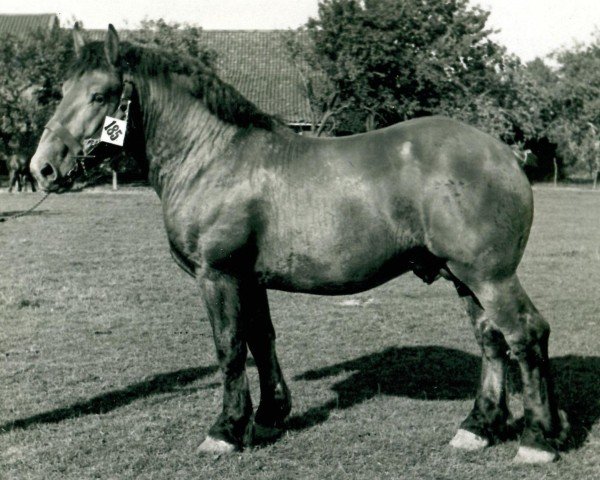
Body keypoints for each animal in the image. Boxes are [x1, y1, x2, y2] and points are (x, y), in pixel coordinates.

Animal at [30, 25, 568, 462]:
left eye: (100, 94)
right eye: (63, 91)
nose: (43, 168)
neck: (212, 155)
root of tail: (504, 153)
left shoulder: (218, 275)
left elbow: (229, 347)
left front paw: (225, 431)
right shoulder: (250, 279)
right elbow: (260, 339)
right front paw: (268, 417)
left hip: (489, 276)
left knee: (526, 334)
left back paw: (537, 440)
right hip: (463, 278)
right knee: (491, 340)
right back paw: (478, 428)